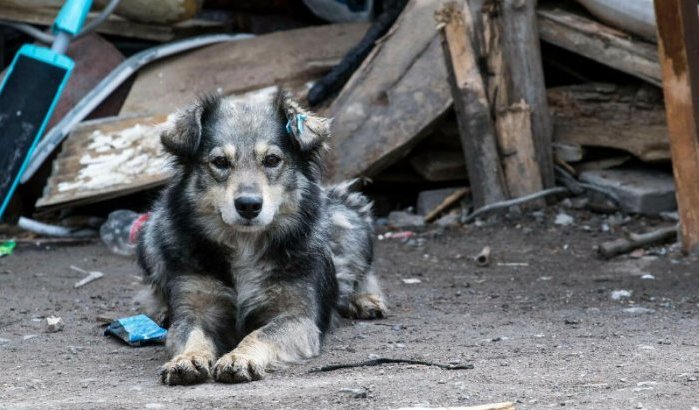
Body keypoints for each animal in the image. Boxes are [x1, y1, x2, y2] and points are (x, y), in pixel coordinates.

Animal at [135, 91, 388, 386]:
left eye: (272, 160)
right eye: (220, 162)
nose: (248, 205)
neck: (245, 245)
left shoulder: (298, 317)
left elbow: (260, 333)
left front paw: (239, 358)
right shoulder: (194, 310)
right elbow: (191, 335)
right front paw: (187, 358)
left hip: (350, 220)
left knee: (361, 272)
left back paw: (365, 299)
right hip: (153, 229)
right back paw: (161, 310)